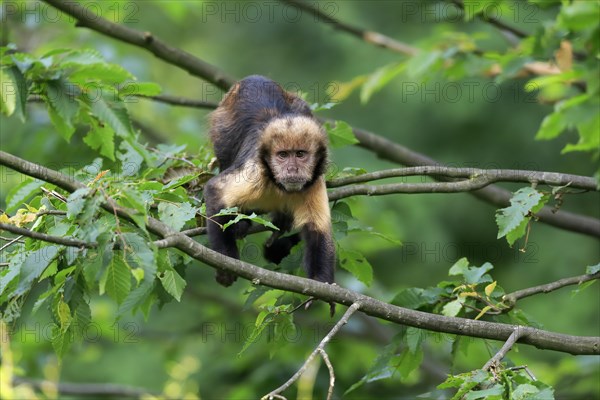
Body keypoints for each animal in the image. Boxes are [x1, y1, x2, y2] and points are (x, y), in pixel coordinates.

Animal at [204, 75, 336, 290]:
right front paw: (226, 262)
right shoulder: (256, 171)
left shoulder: (314, 181)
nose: (292, 169)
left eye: (300, 154)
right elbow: (215, 191)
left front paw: (321, 286)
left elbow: (317, 228)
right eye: (283, 155)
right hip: (222, 122)